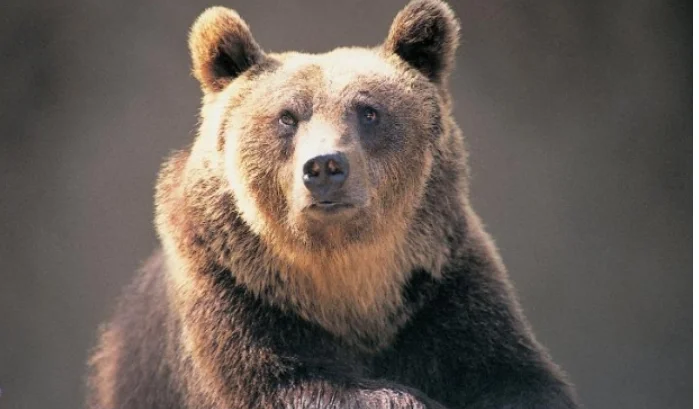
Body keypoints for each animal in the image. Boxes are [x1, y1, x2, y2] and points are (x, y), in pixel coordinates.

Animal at [87, 1, 580, 408]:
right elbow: (284, 382)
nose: (325, 166)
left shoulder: (443, 289)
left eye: (369, 111)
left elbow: (512, 374)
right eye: (287, 117)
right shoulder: (231, 289)